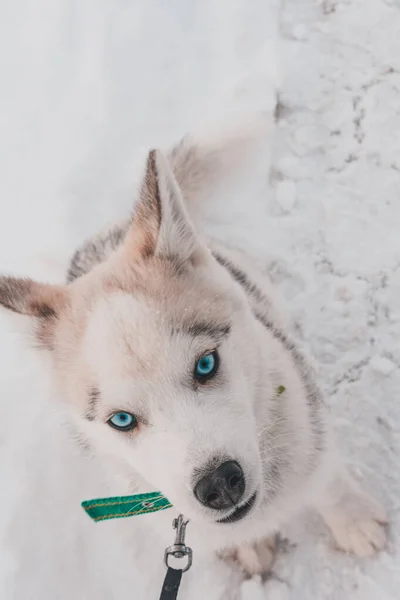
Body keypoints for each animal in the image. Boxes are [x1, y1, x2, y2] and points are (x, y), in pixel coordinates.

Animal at [0, 119, 388, 588]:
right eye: (121, 420)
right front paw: (250, 545)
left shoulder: (308, 421)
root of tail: (113, 228)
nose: (219, 484)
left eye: (206, 364)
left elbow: (328, 481)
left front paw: (352, 519)